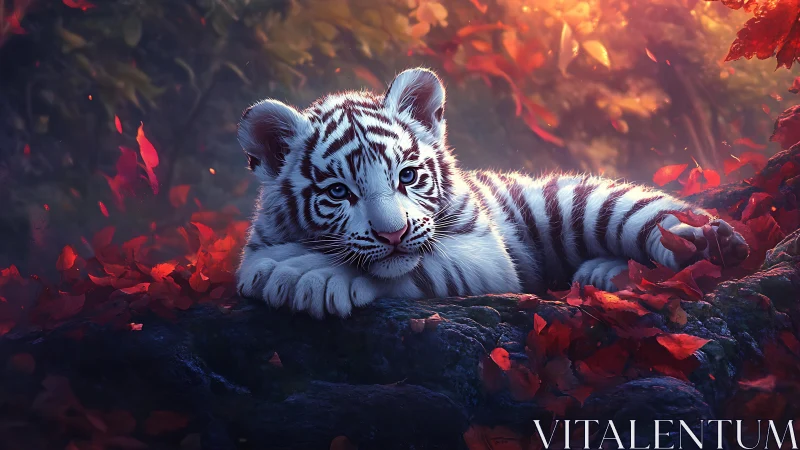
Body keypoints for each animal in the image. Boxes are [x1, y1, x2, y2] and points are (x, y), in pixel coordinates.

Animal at [235, 68, 749, 319]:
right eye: (340, 192)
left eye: (407, 176)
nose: (393, 235)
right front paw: (281, 271)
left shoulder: (485, 253)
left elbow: (416, 269)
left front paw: (305, 275)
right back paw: (600, 274)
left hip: (600, 207)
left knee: (670, 224)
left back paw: (709, 242)